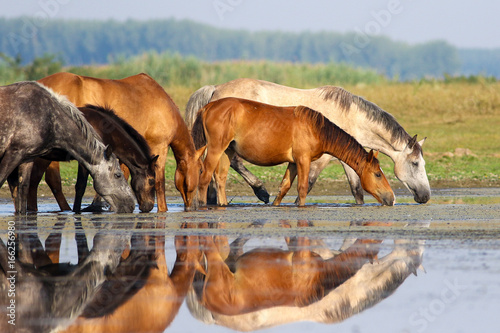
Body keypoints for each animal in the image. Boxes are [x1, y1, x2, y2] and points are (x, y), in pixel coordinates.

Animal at [0, 81, 135, 214]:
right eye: (118, 175)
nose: (131, 205)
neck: (49, 118)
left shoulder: (28, 158)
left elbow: (22, 193)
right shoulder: (14, 153)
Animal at [26, 104, 158, 213]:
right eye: (152, 181)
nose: (149, 206)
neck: (108, 132)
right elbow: (81, 186)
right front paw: (77, 211)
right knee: (34, 182)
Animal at [186, 79, 432, 204]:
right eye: (415, 163)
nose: (426, 196)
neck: (349, 115)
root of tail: (214, 89)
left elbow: (357, 190)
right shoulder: (320, 160)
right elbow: (309, 183)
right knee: (234, 163)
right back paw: (260, 191)